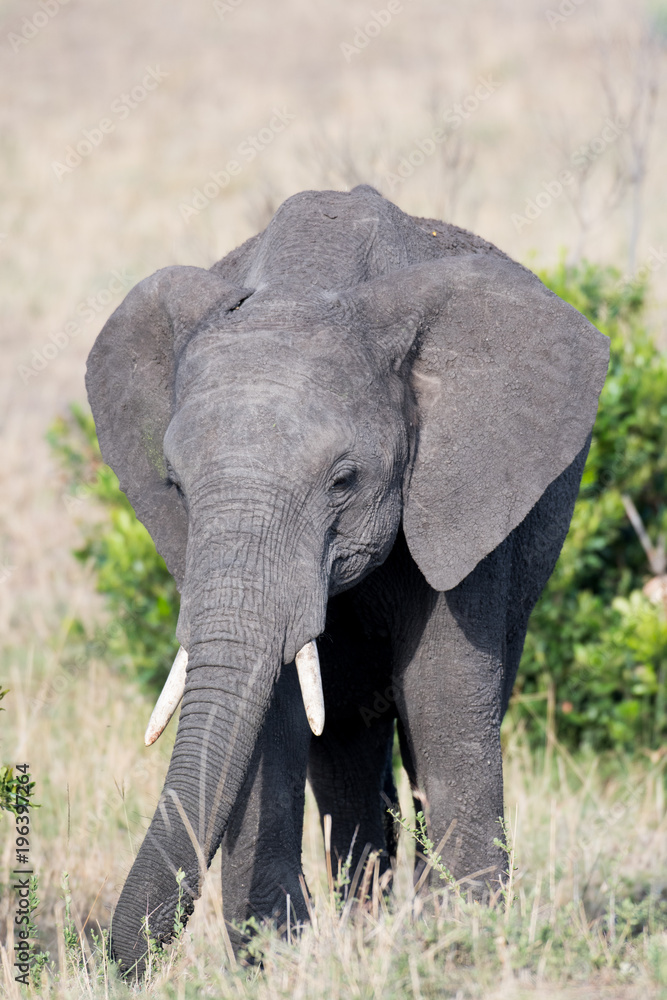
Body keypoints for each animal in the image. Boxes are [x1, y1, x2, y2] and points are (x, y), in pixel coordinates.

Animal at [86, 184, 608, 972]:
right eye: (174, 486)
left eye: (343, 480)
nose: (117, 961)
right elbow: (270, 713)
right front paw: (277, 962)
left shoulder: (464, 487)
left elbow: (444, 695)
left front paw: (459, 948)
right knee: (345, 745)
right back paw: (364, 929)